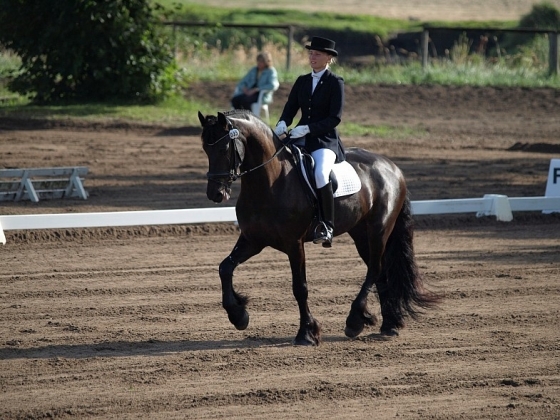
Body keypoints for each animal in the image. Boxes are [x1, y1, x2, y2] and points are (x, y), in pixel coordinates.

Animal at [197, 110, 438, 346]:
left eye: (224, 148)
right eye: (205, 149)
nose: (215, 194)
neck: (270, 182)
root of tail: (392, 166)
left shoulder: (294, 244)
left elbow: (300, 287)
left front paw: (307, 333)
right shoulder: (253, 240)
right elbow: (225, 268)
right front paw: (239, 315)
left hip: (378, 230)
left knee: (375, 269)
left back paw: (355, 321)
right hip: (361, 235)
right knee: (380, 273)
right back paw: (388, 325)